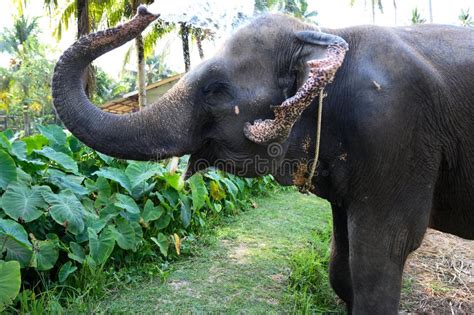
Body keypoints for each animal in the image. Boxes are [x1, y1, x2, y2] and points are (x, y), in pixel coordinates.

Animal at [51, 6, 474, 314]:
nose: (145, 10)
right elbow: (341, 265)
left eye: (216, 89)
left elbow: (381, 254)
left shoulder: (395, 134)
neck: (323, 32)